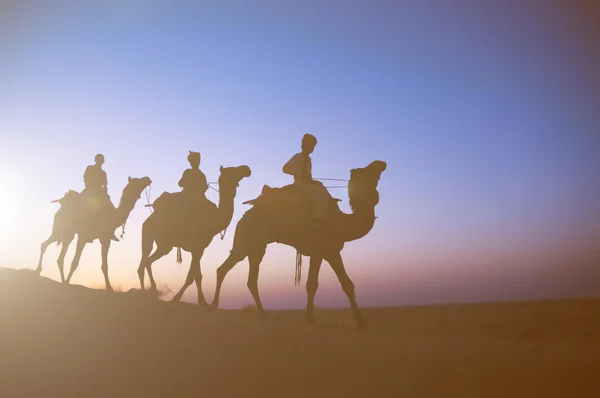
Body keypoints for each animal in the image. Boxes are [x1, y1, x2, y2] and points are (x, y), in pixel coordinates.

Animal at [138, 163, 251, 304]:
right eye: (232, 170)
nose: (247, 169)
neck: (214, 220)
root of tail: (148, 219)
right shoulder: (197, 247)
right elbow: (195, 276)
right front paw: (198, 300)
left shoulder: (199, 249)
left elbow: (193, 276)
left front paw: (188, 298)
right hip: (148, 235)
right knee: (143, 262)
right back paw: (145, 292)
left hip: (164, 245)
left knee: (147, 262)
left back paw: (152, 289)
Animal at [210, 160, 390, 328]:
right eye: (366, 170)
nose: (381, 163)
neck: (340, 223)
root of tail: (243, 218)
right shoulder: (319, 250)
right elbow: (312, 284)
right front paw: (310, 318)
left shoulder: (332, 251)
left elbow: (347, 284)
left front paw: (362, 322)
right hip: (244, 242)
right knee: (224, 269)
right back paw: (214, 306)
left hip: (258, 247)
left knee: (249, 278)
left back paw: (262, 312)